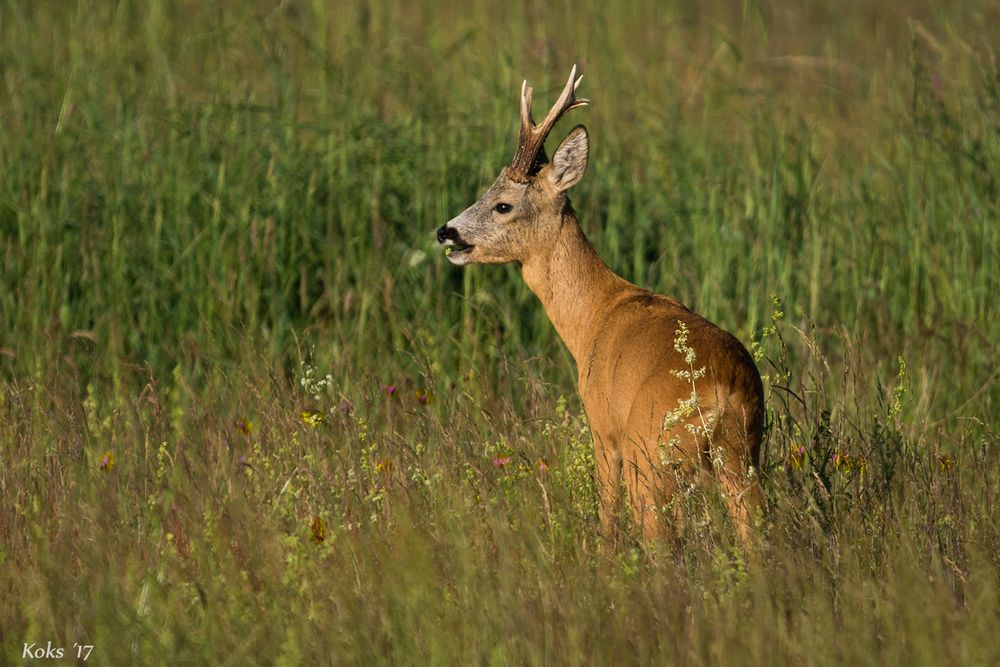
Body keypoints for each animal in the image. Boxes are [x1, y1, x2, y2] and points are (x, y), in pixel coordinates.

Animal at [438, 65, 764, 544]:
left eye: (503, 205)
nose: (446, 231)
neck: (592, 315)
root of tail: (722, 391)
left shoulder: (601, 426)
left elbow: (607, 515)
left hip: (650, 453)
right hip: (744, 454)